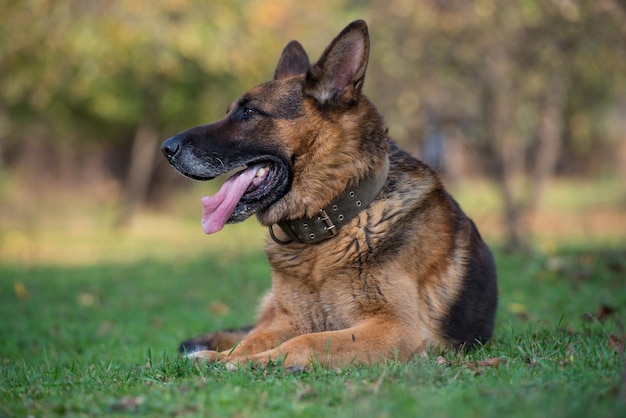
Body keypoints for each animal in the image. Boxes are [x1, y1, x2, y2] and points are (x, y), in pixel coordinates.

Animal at [161, 19, 498, 368]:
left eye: (248, 112)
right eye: (231, 111)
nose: (167, 148)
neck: (332, 222)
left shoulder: (394, 329)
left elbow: (308, 340)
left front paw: (251, 362)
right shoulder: (288, 319)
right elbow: (255, 339)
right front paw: (227, 357)